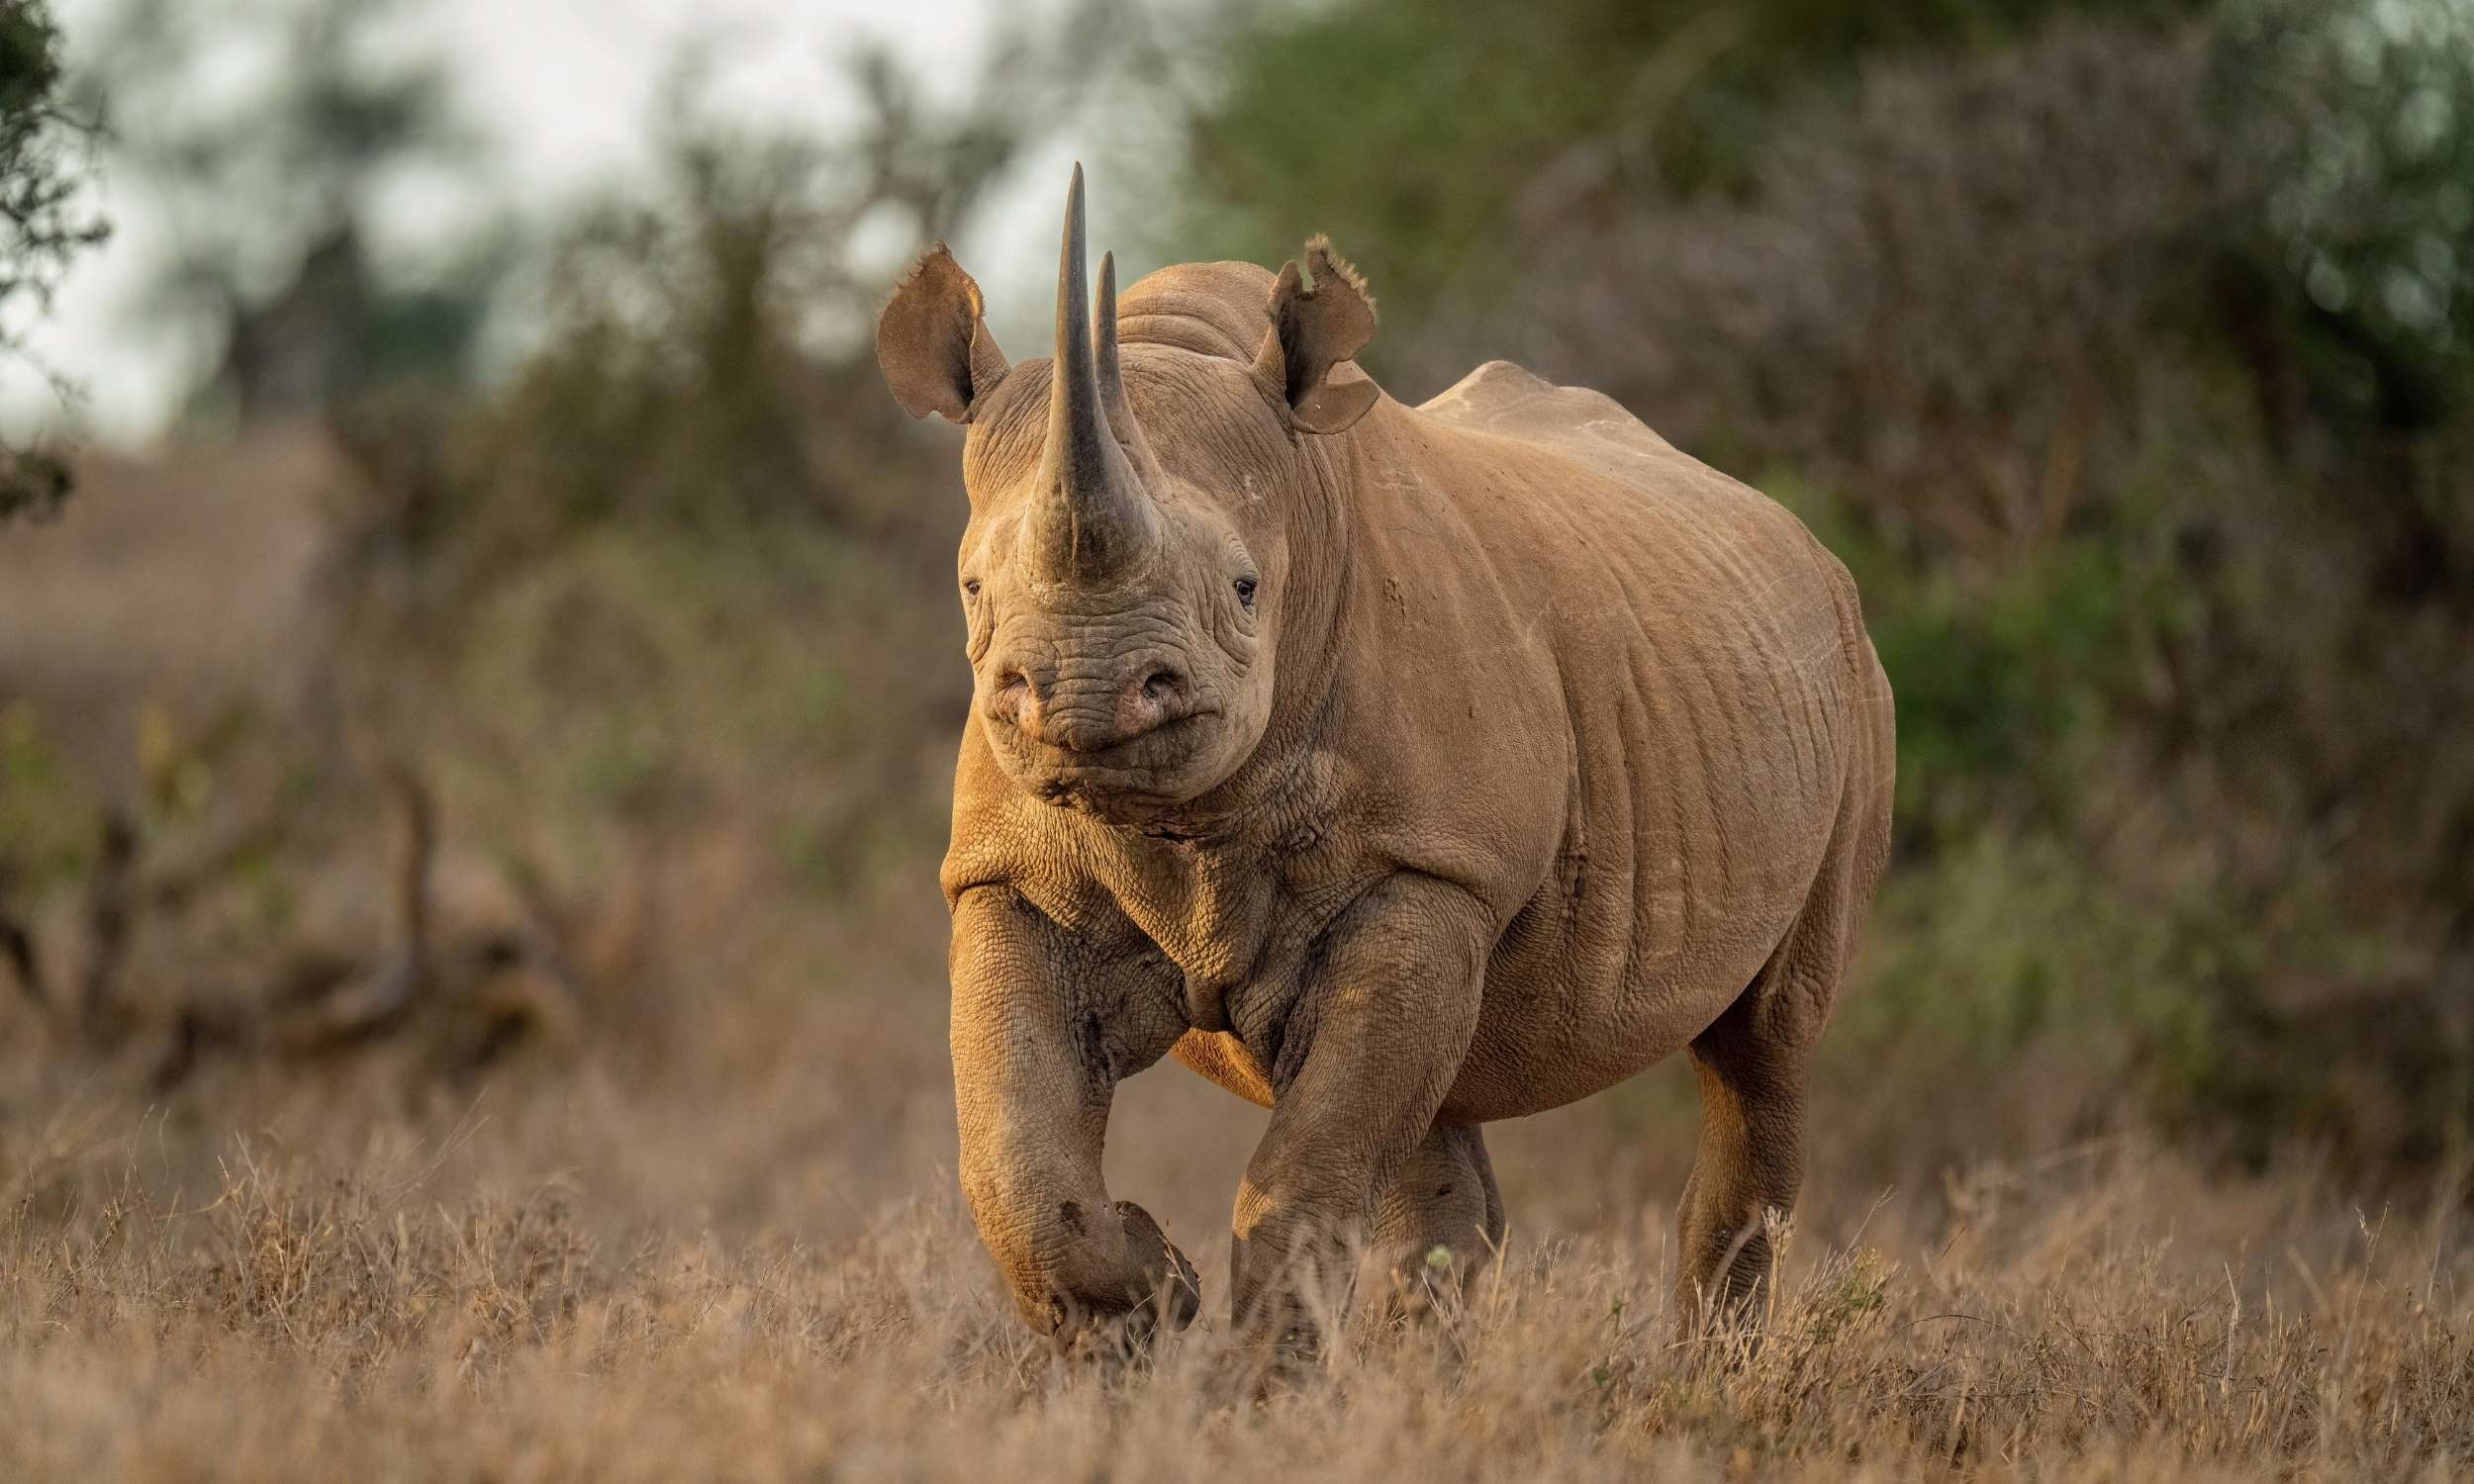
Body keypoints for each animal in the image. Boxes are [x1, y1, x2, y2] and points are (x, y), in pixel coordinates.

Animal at [875, 168, 1895, 1353]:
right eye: (972, 590)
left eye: (1245, 589)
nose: (1085, 695)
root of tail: (1799, 541)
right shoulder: (1009, 874)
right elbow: (1016, 1163)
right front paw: (1147, 1302)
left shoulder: (1428, 868)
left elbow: (1308, 1172)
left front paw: (1255, 1376)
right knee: (1437, 1121)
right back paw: (1426, 1369)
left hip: (1847, 680)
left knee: (1765, 1046)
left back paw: (1708, 1369)